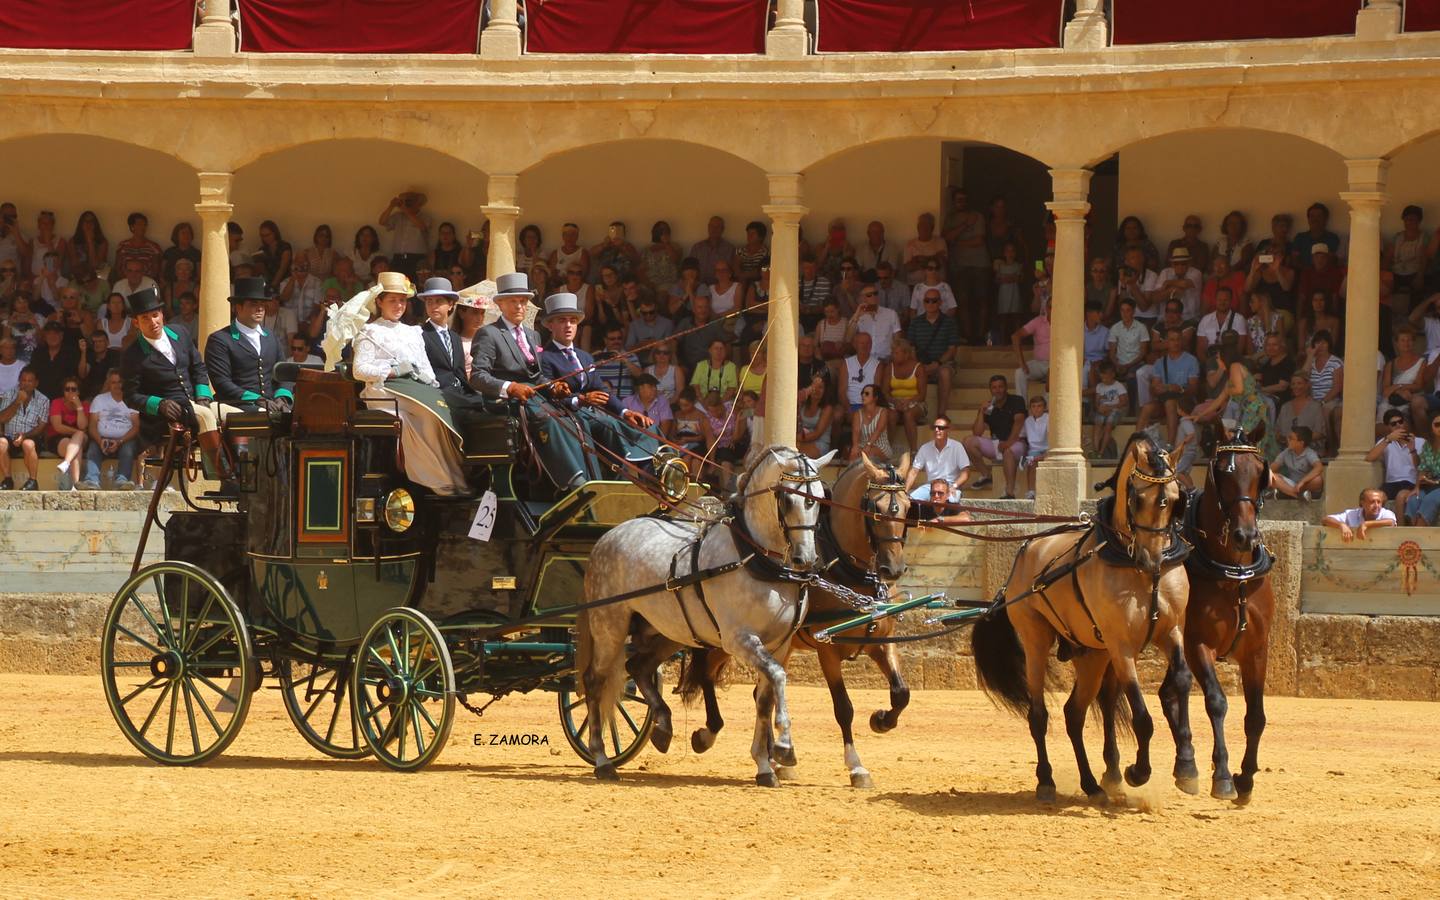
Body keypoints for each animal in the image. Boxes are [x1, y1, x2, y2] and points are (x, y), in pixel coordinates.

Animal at [573, 446, 835, 783]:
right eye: (787, 499)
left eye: (819, 498)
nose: (807, 559)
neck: (757, 560)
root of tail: (604, 540)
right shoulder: (739, 640)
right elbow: (778, 676)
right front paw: (784, 748)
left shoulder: (779, 644)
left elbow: (765, 699)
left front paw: (764, 766)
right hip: (609, 626)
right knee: (594, 681)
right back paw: (602, 758)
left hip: (667, 631)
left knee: (638, 666)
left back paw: (663, 727)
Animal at [676, 452, 910, 783]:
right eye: (874, 510)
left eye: (909, 506)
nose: (894, 569)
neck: (851, 572)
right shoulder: (827, 650)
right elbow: (843, 708)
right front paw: (856, 766)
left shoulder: (882, 641)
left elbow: (901, 693)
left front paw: (881, 720)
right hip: (726, 638)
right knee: (708, 673)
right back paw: (710, 735)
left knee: (760, 692)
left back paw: (772, 757)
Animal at [973, 429, 1198, 800]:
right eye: (1137, 499)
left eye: (1176, 498)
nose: (1151, 559)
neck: (1136, 566)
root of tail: (1027, 551)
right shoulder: (1121, 647)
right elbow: (1142, 717)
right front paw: (1138, 772)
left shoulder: (1172, 631)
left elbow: (1181, 680)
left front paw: (1187, 767)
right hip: (1037, 642)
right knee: (1039, 714)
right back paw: (1047, 780)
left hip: (1091, 654)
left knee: (1074, 714)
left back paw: (1091, 783)